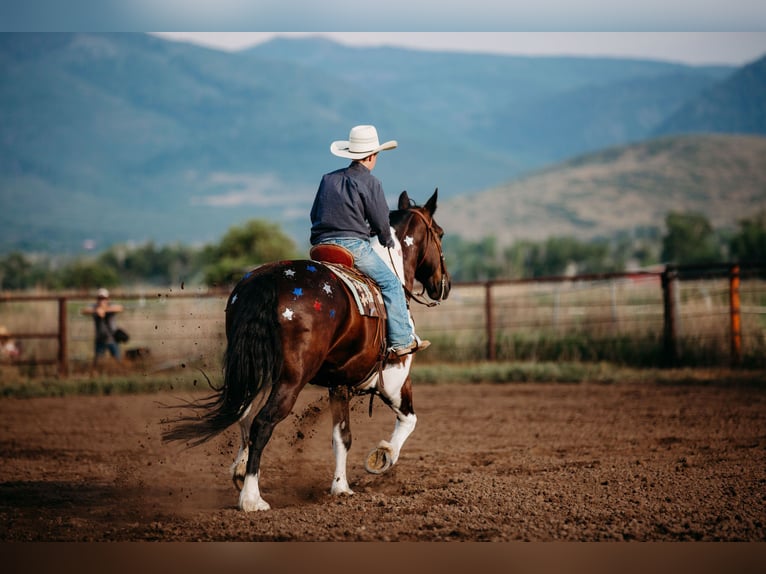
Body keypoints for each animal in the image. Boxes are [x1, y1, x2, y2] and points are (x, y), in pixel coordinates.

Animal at [162, 189, 450, 512]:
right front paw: (382, 457)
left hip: (255, 369)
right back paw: (251, 498)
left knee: (244, 415)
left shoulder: (340, 385)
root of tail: (268, 281)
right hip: (291, 379)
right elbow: (409, 420)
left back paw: (240, 472)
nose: (444, 285)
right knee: (262, 422)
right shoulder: (394, 378)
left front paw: (341, 488)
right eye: (440, 233)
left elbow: (342, 436)